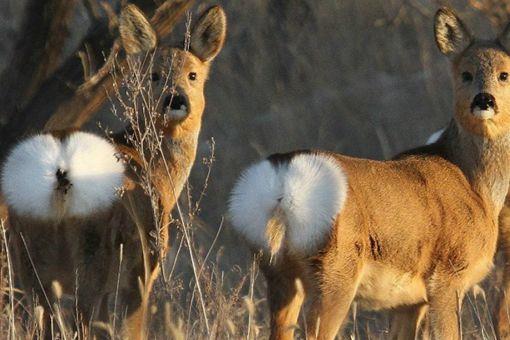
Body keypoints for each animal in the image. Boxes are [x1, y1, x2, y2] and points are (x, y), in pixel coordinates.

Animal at [0, 3, 226, 338]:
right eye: (153, 75)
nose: (176, 99)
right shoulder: (142, 267)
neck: (157, 172)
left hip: (30, 260)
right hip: (91, 254)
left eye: (193, 74)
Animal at [229, 7, 510, 340]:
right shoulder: (447, 275)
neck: (475, 185)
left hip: (277, 271)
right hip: (335, 269)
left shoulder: (409, 301)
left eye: (504, 74)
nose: (484, 100)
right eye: (465, 73)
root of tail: (282, 182)